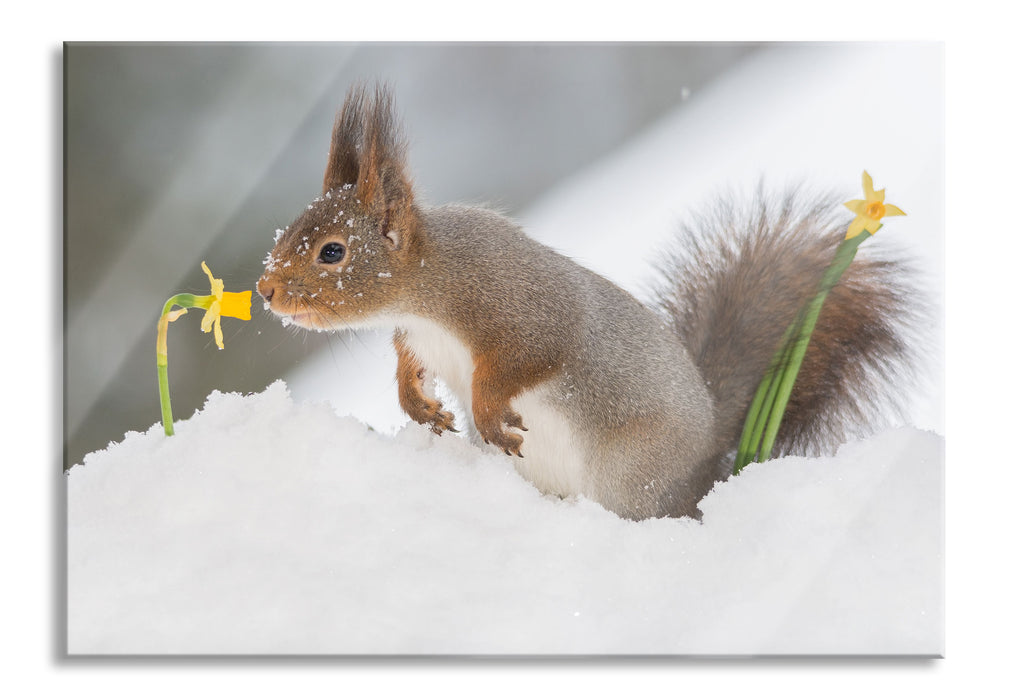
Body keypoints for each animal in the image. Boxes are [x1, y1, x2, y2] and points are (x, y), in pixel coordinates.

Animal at [257, 84, 921, 521]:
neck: (428, 289)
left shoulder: (522, 309)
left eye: (333, 252)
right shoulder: (418, 338)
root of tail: (709, 459)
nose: (265, 291)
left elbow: (528, 358)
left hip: (631, 477)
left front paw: (489, 413)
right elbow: (408, 366)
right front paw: (420, 406)